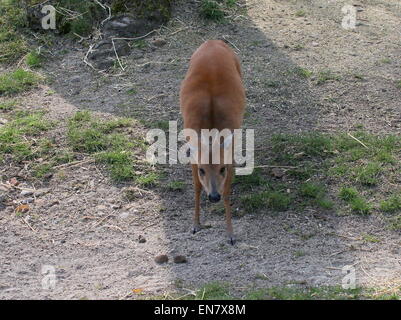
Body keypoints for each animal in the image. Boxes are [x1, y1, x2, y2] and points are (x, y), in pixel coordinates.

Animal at [180, 40, 245, 245]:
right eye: (202, 170)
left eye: (222, 169)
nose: (214, 197)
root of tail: (213, 41)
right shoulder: (194, 157)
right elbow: (197, 188)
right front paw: (195, 225)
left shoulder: (228, 158)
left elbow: (227, 192)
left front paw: (231, 234)